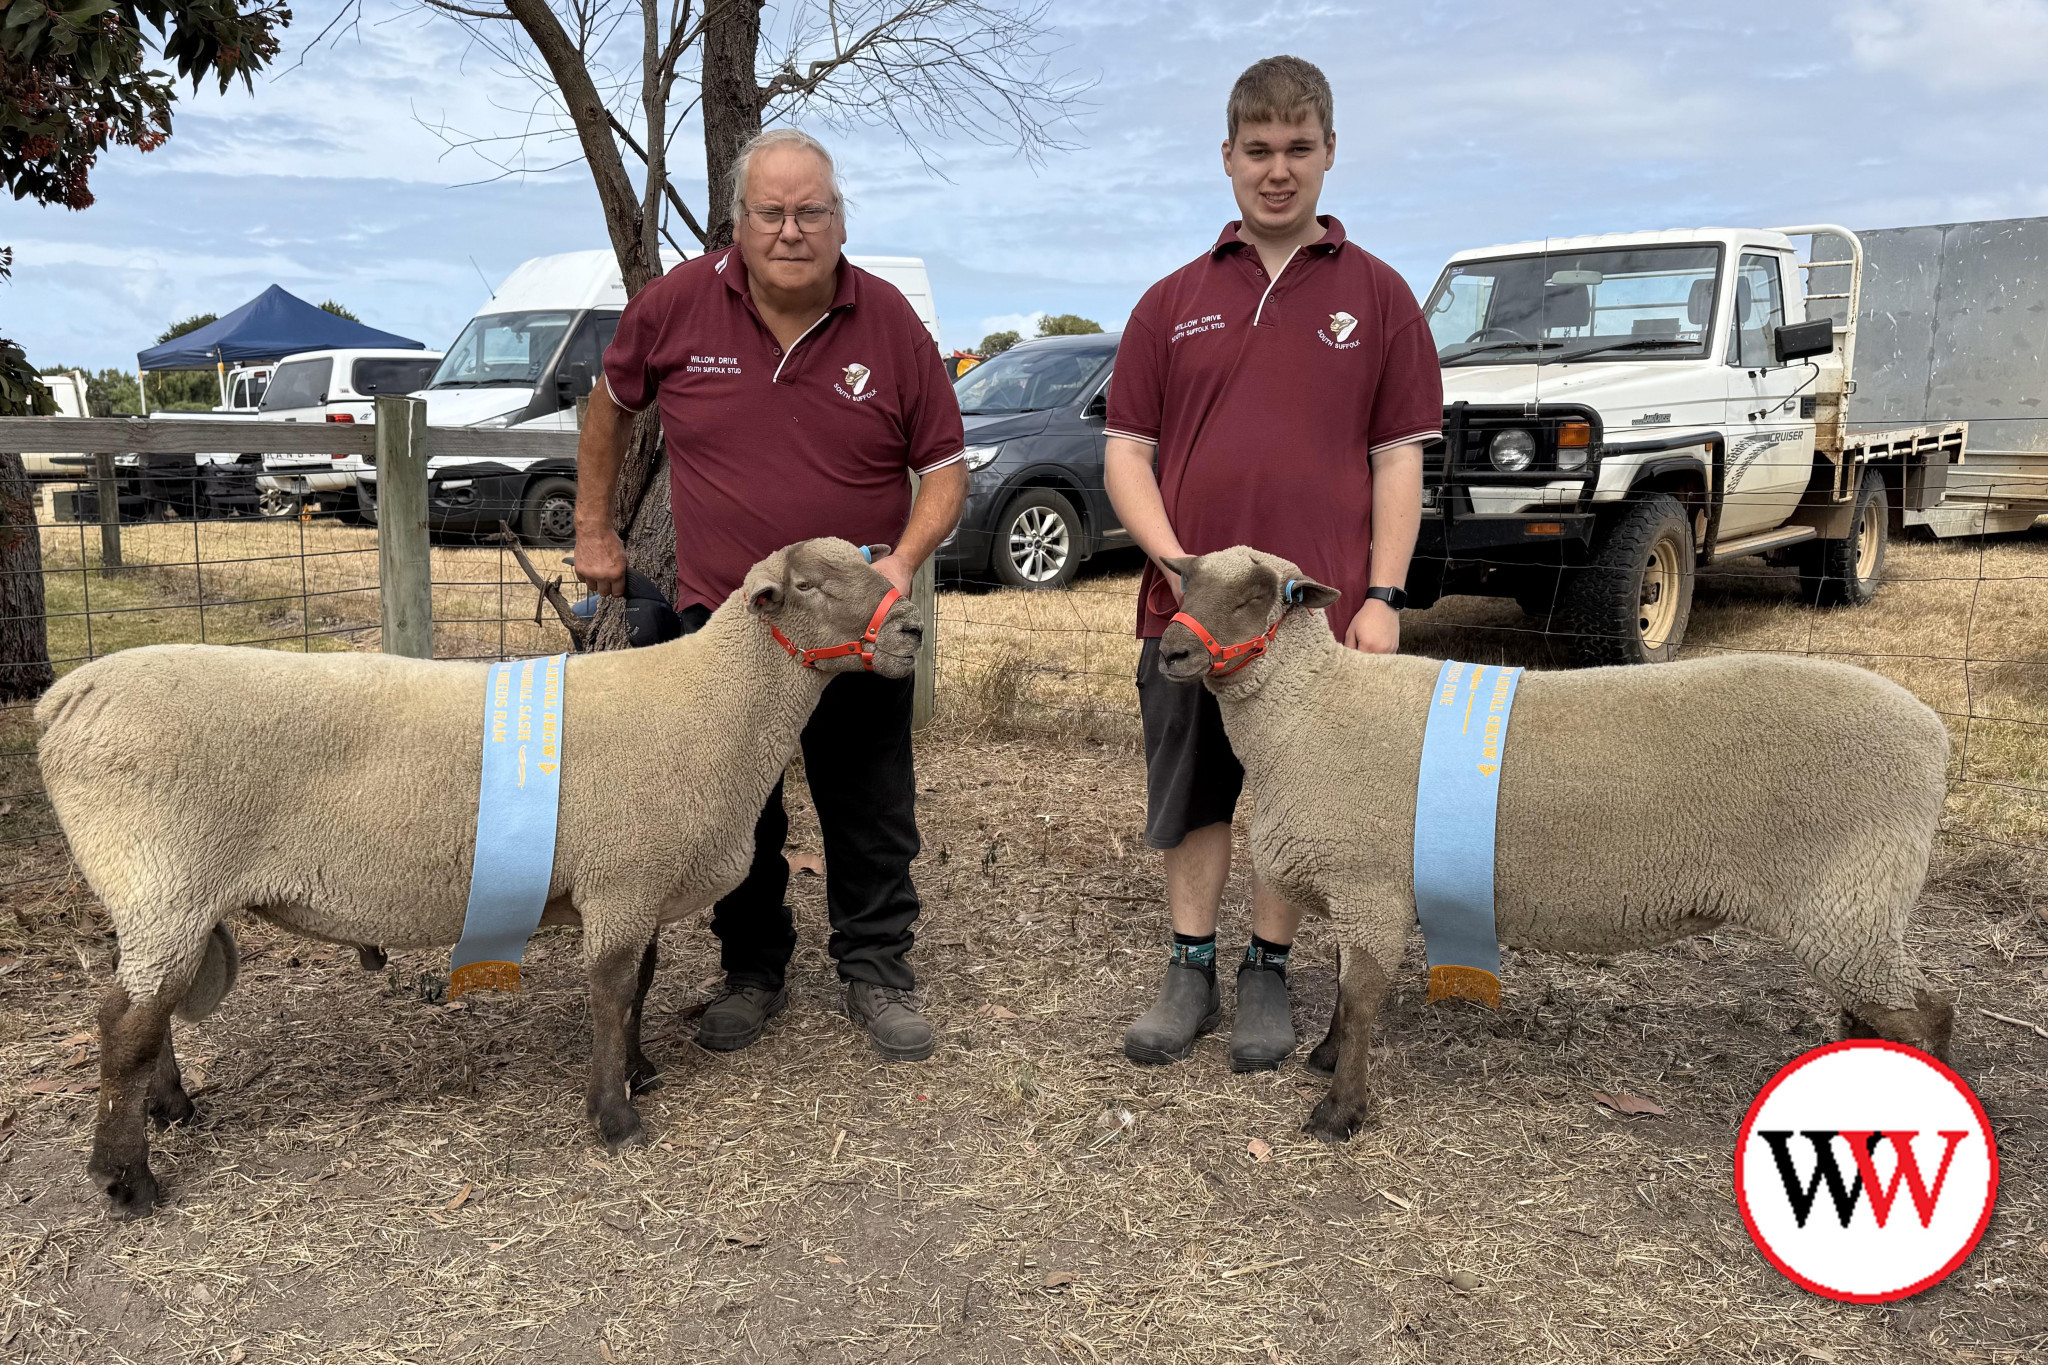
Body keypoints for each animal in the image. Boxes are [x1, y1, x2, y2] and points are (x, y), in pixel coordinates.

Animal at [34, 532, 921, 1219]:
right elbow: (609, 990)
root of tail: (67, 697)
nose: (912, 628)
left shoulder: (639, 878)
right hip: (163, 873)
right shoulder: (624, 877)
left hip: (163, 892)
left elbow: (640, 983)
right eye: (809, 585)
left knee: (147, 1010)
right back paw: (127, 1178)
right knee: (124, 1023)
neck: (717, 704)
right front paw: (615, 1116)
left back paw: (170, 1108)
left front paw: (638, 1072)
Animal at [1163, 544, 1957, 1146]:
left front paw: (1339, 1112)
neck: (1309, 711)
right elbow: (1345, 989)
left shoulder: (1367, 886)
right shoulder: (1365, 885)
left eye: (1257, 595)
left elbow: (1360, 999)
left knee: (1928, 1010)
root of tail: (1933, 733)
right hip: (1856, 906)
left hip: (1849, 895)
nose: (1170, 647)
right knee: (1876, 1006)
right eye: (1187, 580)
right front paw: (1327, 1060)